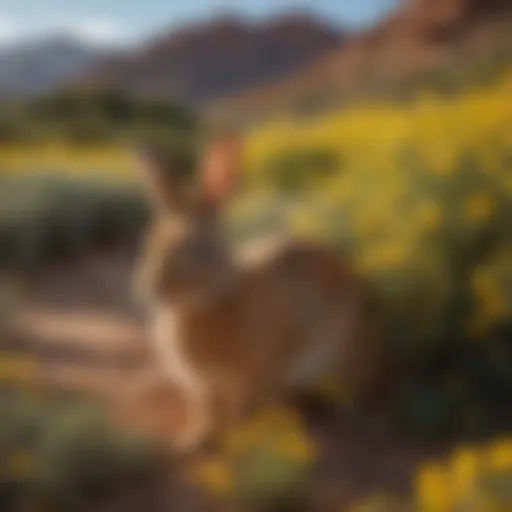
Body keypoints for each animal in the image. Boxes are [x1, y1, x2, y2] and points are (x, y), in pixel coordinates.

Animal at [131, 135, 380, 452]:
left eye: (198, 248)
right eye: (152, 240)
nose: (151, 287)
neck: (209, 301)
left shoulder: (253, 378)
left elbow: (243, 413)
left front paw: (239, 442)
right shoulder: (205, 389)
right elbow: (207, 413)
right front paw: (193, 442)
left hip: (337, 353)